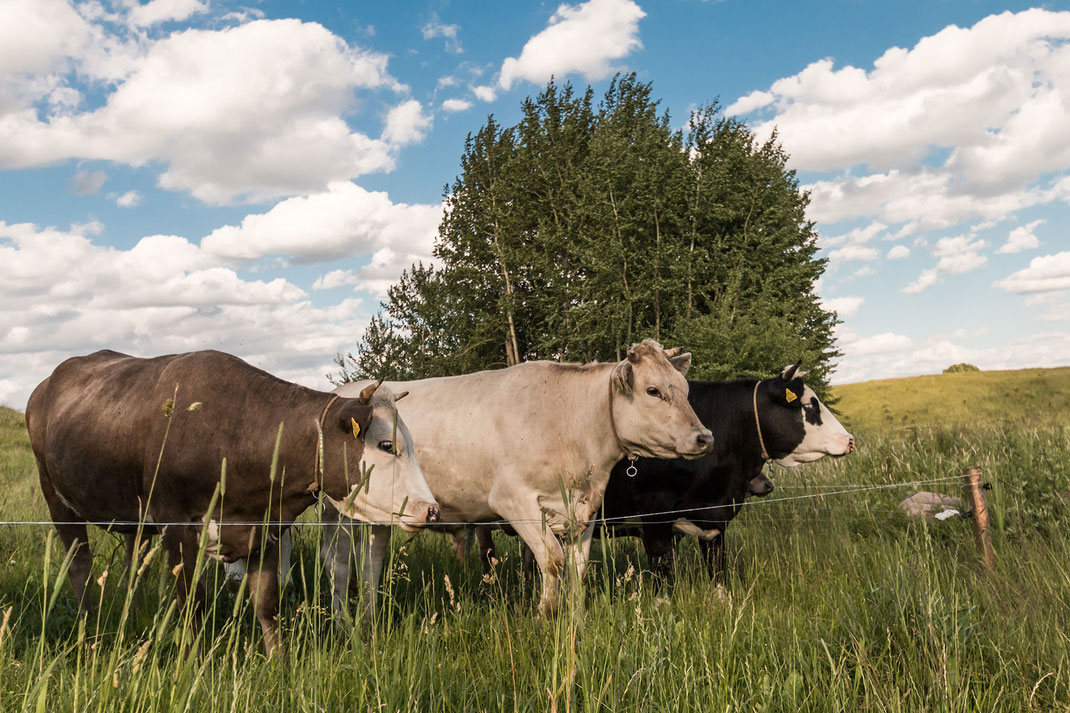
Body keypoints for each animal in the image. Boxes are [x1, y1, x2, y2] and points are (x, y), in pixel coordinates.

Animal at [27, 346, 440, 650]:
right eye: (386, 445)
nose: (431, 510)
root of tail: (46, 383)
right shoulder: (177, 527)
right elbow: (192, 603)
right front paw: (192, 662)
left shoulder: (264, 525)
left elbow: (267, 604)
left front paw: (278, 665)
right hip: (57, 499)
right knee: (79, 566)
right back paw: (90, 631)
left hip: (136, 518)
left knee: (133, 565)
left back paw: (135, 612)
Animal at [325, 342, 714, 612]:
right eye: (653, 391)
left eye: (685, 389)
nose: (705, 437)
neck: (567, 421)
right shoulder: (514, 501)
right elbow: (553, 560)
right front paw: (546, 613)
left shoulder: (584, 509)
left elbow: (578, 566)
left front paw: (576, 613)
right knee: (337, 557)